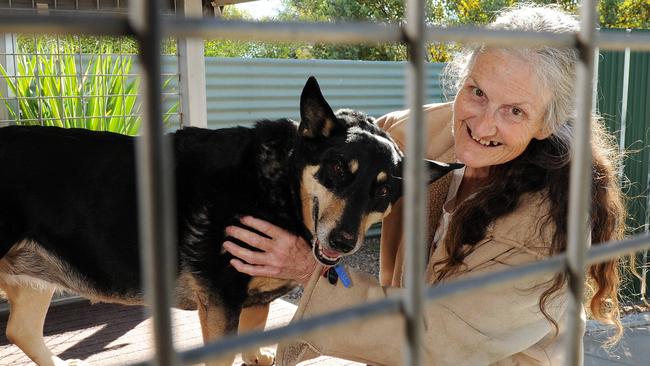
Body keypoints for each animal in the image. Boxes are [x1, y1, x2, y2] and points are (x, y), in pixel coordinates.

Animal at [0, 76, 460, 364]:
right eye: (337, 170)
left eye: (384, 191)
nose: (344, 242)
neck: (278, 188)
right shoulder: (221, 302)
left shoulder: (252, 300)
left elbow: (253, 335)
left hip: (35, 280)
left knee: (21, 332)